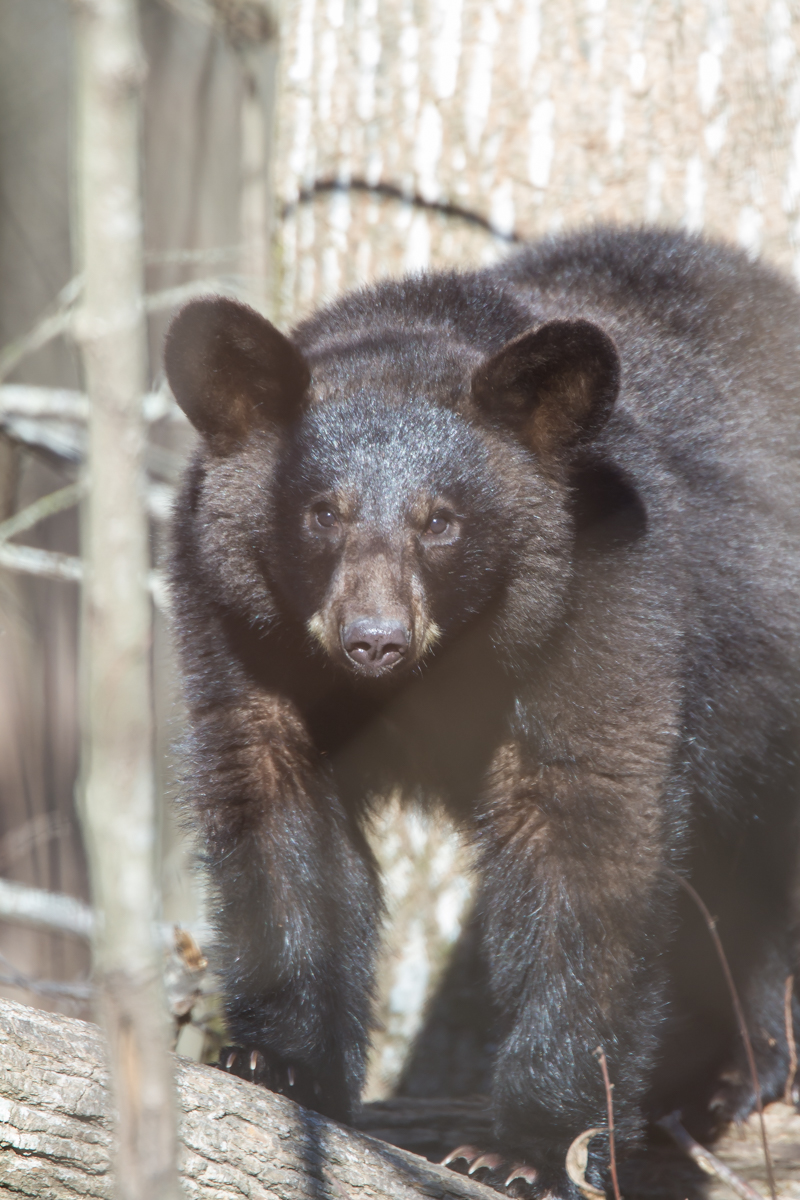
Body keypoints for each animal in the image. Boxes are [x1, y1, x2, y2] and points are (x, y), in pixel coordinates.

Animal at [164, 226, 800, 1199]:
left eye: (441, 521)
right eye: (320, 512)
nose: (372, 640)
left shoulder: (609, 600)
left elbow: (585, 831)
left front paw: (527, 1148)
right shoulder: (238, 622)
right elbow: (272, 795)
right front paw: (276, 1062)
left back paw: (731, 1071)